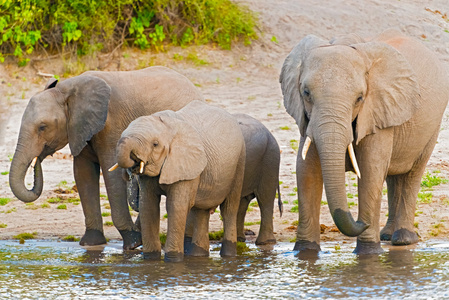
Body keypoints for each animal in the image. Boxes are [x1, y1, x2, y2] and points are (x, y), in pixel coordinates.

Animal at [8, 67, 203, 250]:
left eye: (42, 127)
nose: (38, 158)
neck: (66, 89)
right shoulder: (80, 129)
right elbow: (83, 174)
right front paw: (91, 243)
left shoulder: (112, 125)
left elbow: (112, 176)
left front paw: (133, 244)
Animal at [112, 99, 245, 262]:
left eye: (155, 144)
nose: (129, 171)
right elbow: (148, 206)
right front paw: (151, 260)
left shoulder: (186, 163)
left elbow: (176, 206)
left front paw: (173, 261)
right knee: (201, 212)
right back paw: (198, 256)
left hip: (240, 160)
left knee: (229, 209)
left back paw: (228, 256)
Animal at [278, 28, 448, 254]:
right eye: (306, 93)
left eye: (359, 98)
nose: (362, 223)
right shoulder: (307, 120)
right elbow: (306, 172)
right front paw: (304, 252)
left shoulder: (376, 110)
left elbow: (370, 171)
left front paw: (369, 253)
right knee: (393, 177)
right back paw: (386, 235)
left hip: (432, 126)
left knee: (411, 174)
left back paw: (403, 239)